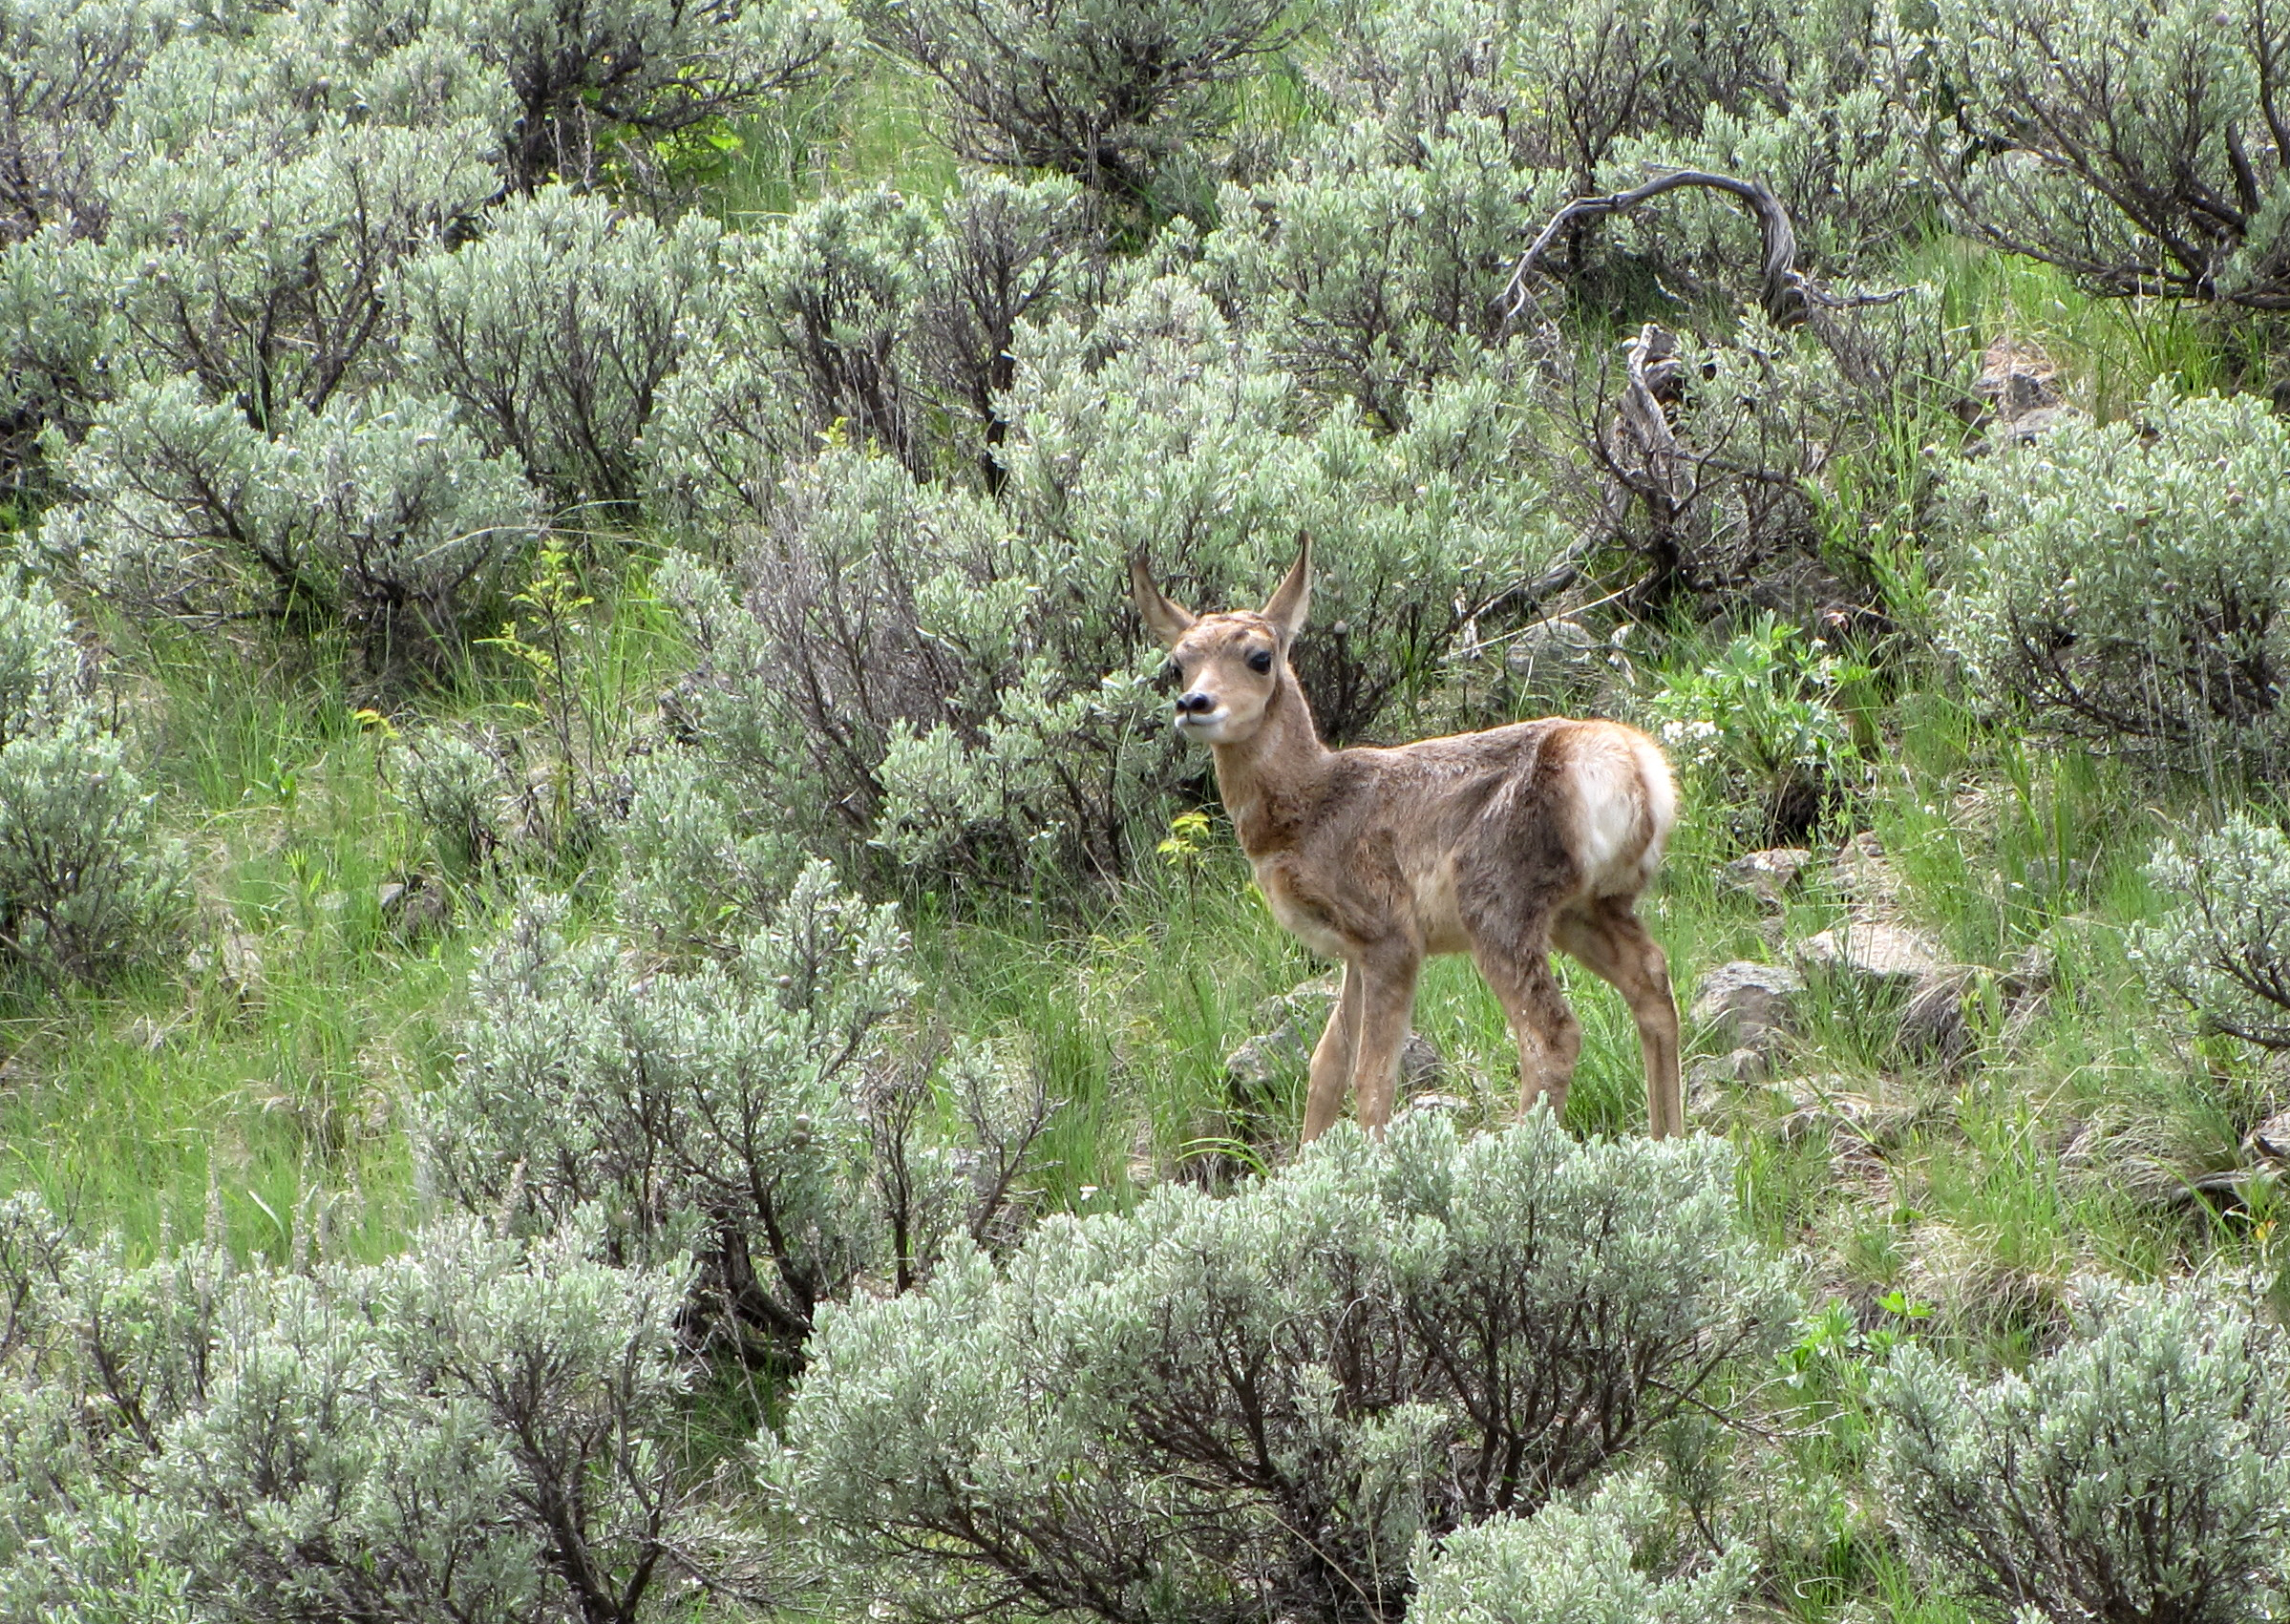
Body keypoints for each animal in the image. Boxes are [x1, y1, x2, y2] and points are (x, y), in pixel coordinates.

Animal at [1132, 536, 1685, 1142]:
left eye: (1260, 657)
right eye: (1177, 663)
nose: (1194, 704)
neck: (1313, 801)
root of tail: (1632, 761)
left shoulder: (1391, 938)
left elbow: (1372, 1078)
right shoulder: (1354, 953)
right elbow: (1326, 1065)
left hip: (1498, 913)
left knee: (1551, 1034)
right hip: (1584, 911)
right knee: (1651, 983)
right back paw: (1670, 1144)